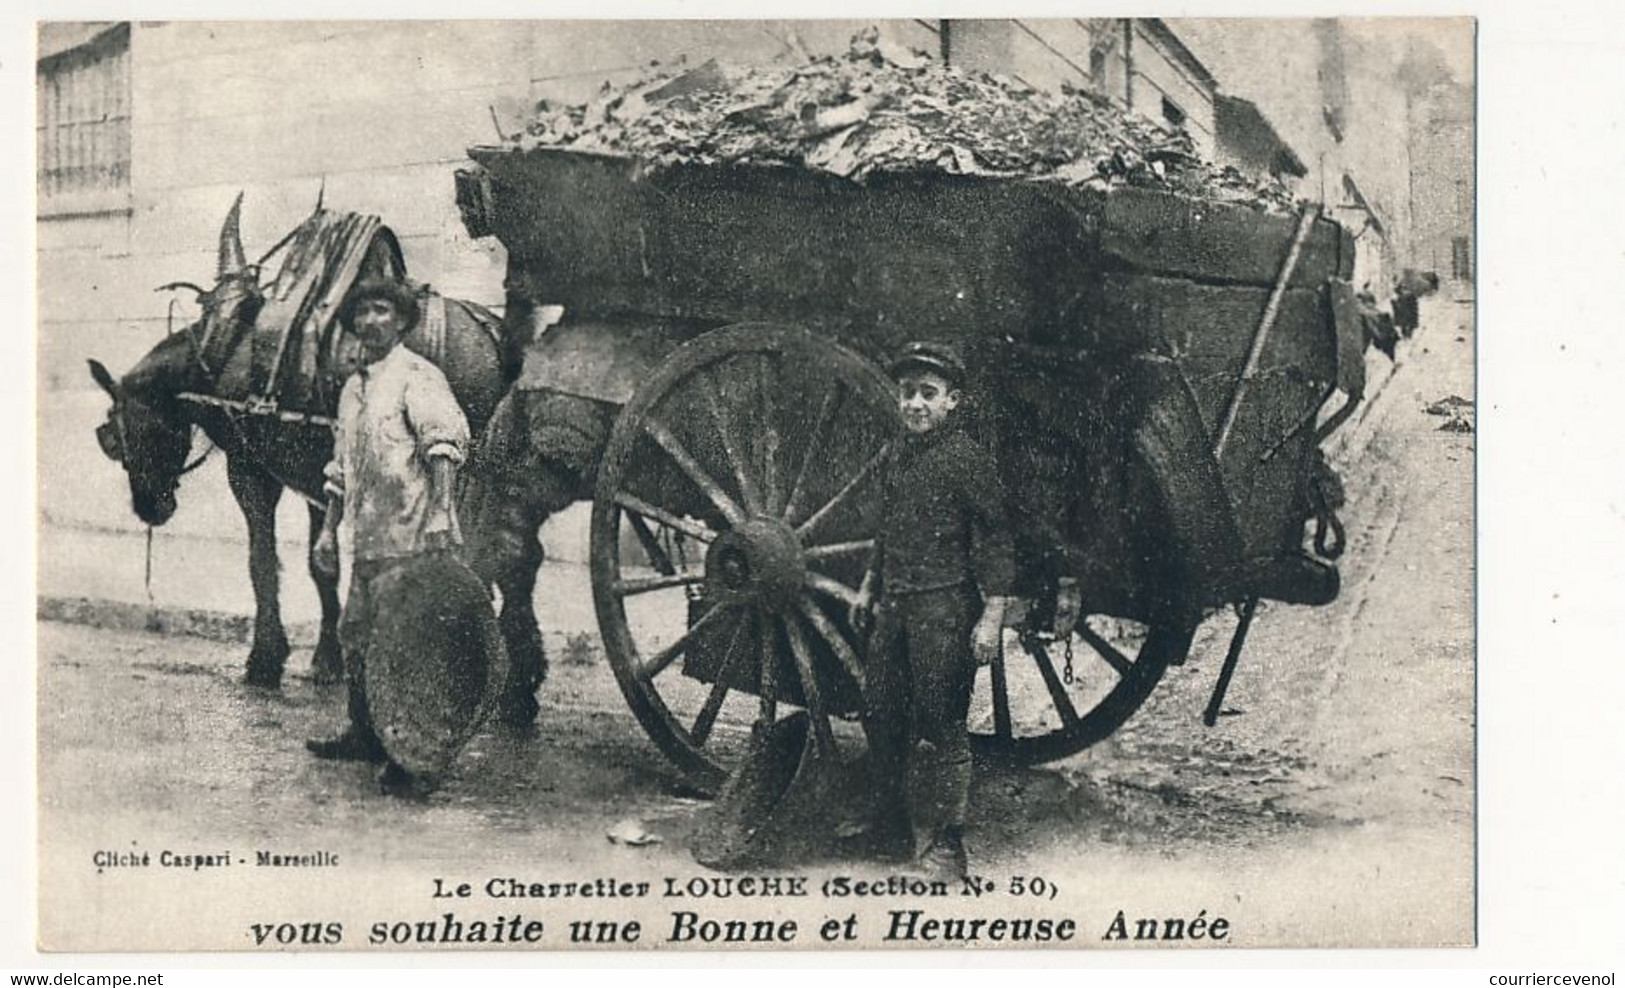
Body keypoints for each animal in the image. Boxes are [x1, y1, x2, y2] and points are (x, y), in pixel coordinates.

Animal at [90, 195, 552, 724]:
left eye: (119, 431)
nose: (150, 508)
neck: (221, 350)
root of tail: (497, 336)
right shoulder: (318, 476)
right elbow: (320, 565)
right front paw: (328, 658)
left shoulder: (250, 471)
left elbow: (262, 561)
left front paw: (266, 658)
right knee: (516, 555)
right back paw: (519, 686)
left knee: (487, 559)